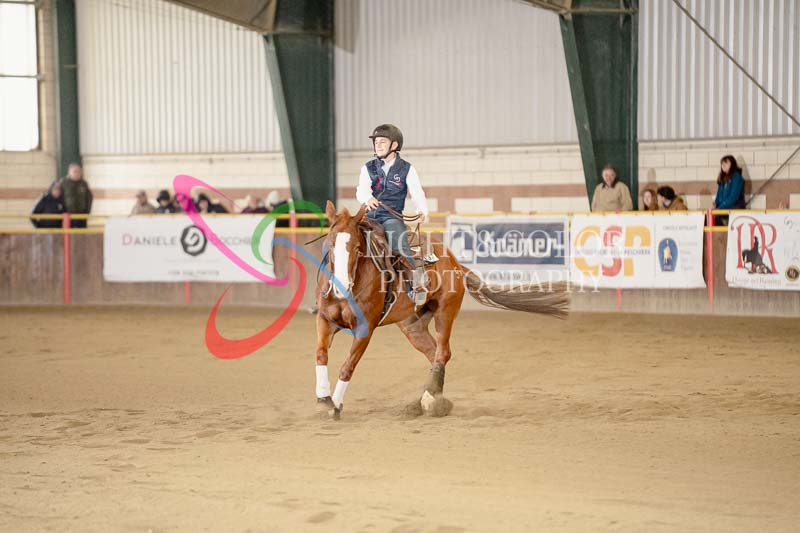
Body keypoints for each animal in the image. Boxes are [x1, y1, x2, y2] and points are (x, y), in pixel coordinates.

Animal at [314, 201, 570, 419]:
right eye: (331, 244)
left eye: (358, 248)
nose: (340, 285)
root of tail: (457, 264)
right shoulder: (325, 321)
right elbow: (321, 354)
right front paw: (324, 398)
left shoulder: (364, 329)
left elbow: (347, 366)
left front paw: (335, 406)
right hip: (413, 326)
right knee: (433, 353)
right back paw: (428, 399)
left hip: (445, 312)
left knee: (443, 352)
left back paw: (429, 400)